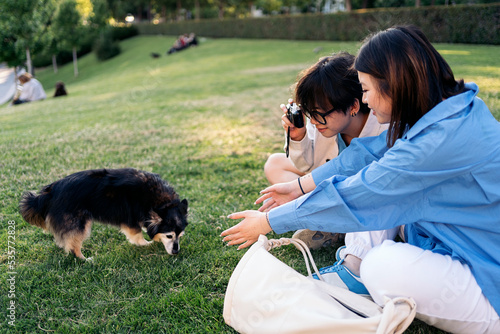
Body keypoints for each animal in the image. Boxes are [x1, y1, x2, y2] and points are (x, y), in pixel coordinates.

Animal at [19, 168, 188, 260]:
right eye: (169, 236)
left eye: (180, 236)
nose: (176, 252)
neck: (159, 200)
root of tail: (50, 192)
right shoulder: (131, 217)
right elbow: (137, 234)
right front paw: (147, 243)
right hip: (79, 223)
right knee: (73, 245)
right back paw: (85, 259)